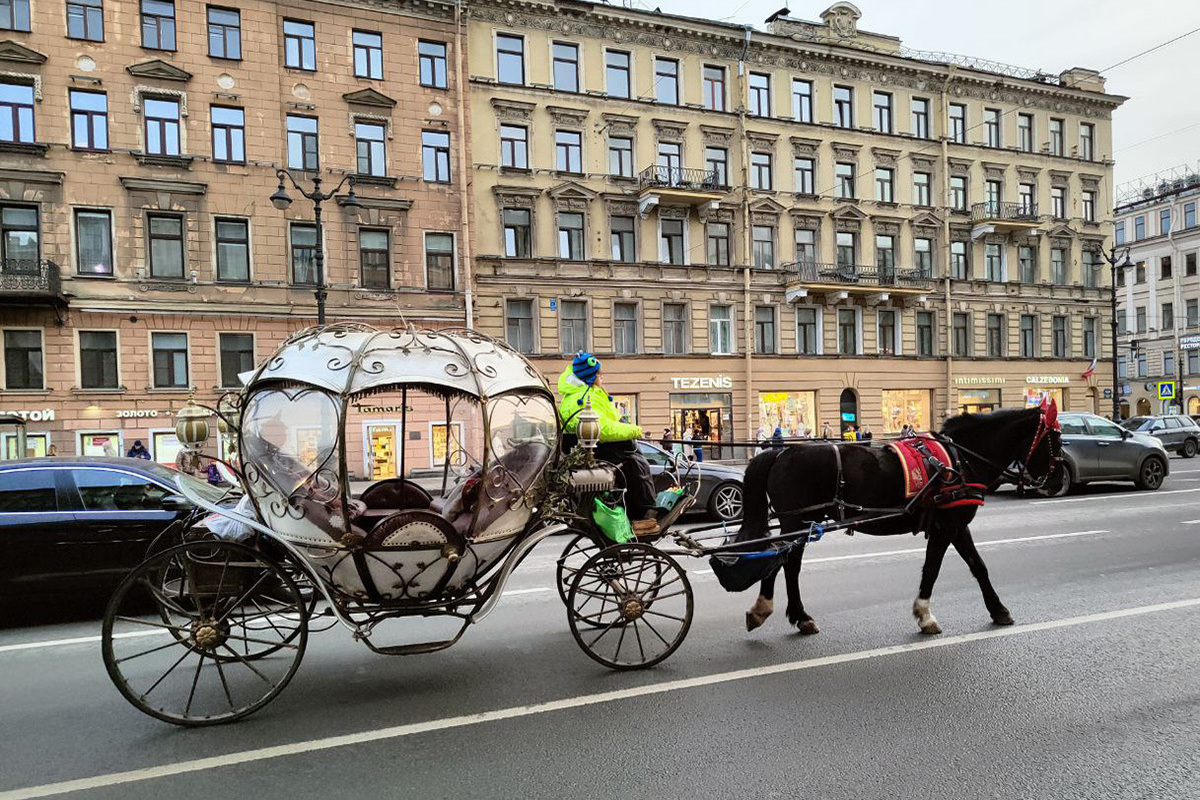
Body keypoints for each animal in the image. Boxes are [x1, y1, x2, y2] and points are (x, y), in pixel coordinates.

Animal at [734, 407, 1065, 638]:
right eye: (1055, 439)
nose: (1058, 479)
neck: (959, 459)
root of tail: (781, 452)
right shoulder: (947, 527)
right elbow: (932, 569)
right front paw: (925, 616)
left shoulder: (957, 526)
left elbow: (978, 566)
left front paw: (998, 610)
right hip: (796, 522)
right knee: (785, 563)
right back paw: (780, 612)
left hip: (802, 523)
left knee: (784, 562)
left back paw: (785, 614)